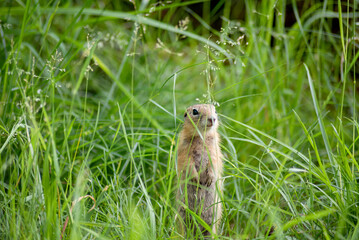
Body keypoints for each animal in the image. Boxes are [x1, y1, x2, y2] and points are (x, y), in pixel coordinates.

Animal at [176, 103, 224, 236]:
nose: (212, 119)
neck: (202, 136)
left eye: (215, 110)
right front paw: (196, 179)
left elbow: (213, 163)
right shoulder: (184, 147)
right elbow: (187, 163)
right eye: (195, 111)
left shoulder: (214, 149)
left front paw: (209, 178)